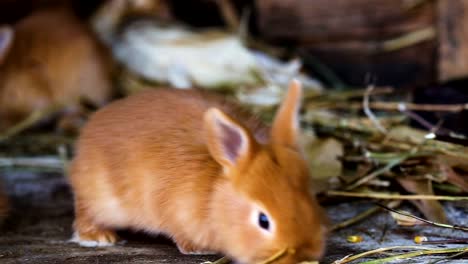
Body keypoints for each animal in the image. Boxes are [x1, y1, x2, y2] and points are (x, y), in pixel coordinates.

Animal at [69, 81, 328, 264]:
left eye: (313, 203)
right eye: (263, 221)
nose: (305, 254)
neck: (213, 194)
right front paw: (197, 249)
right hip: (101, 196)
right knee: (86, 211)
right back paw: (97, 237)